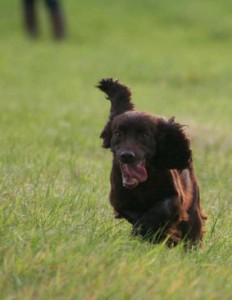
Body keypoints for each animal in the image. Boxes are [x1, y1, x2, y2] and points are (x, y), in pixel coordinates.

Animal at [97, 78, 206, 246]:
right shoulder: (119, 199)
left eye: (145, 134)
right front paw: (147, 231)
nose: (127, 155)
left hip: (193, 213)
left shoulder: (176, 197)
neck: (143, 184)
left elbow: (162, 209)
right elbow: (134, 214)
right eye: (118, 133)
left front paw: (150, 229)